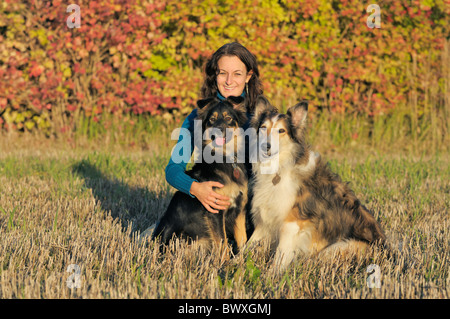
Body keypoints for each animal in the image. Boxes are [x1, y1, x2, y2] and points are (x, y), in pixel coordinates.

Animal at [153, 96, 248, 256]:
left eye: (228, 118)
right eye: (212, 119)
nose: (219, 130)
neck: (224, 156)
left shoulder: (239, 209)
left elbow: (243, 241)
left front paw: (244, 259)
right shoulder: (215, 211)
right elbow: (222, 243)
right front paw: (225, 262)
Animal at [248, 97, 384, 270]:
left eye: (281, 131)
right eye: (263, 128)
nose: (265, 147)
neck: (280, 166)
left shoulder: (292, 223)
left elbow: (280, 255)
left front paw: (272, 274)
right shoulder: (265, 217)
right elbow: (247, 245)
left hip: (340, 246)